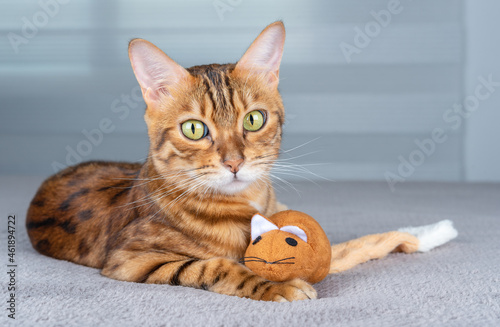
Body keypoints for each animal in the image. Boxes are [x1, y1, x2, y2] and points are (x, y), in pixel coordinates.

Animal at [26, 21, 316, 302]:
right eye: (193, 129)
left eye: (253, 120)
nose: (234, 163)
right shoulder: (130, 259)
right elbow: (217, 266)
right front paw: (276, 286)